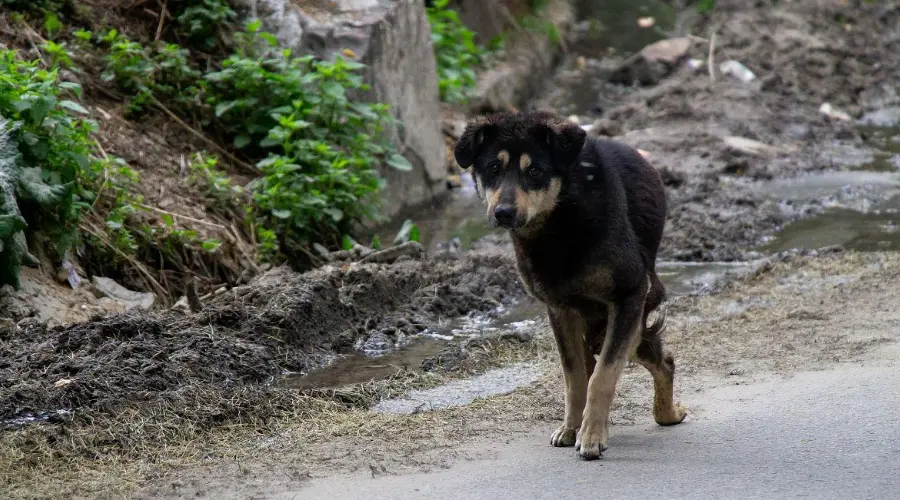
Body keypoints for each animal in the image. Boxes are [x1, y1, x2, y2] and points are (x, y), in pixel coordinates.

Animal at [454, 110, 684, 460]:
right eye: (493, 168)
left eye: (535, 170)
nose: (503, 212)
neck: (560, 218)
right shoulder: (559, 308)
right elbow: (575, 377)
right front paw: (572, 428)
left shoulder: (628, 295)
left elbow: (602, 376)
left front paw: (592, 436)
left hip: (628, 320)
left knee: (660, 361)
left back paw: (667, 414)